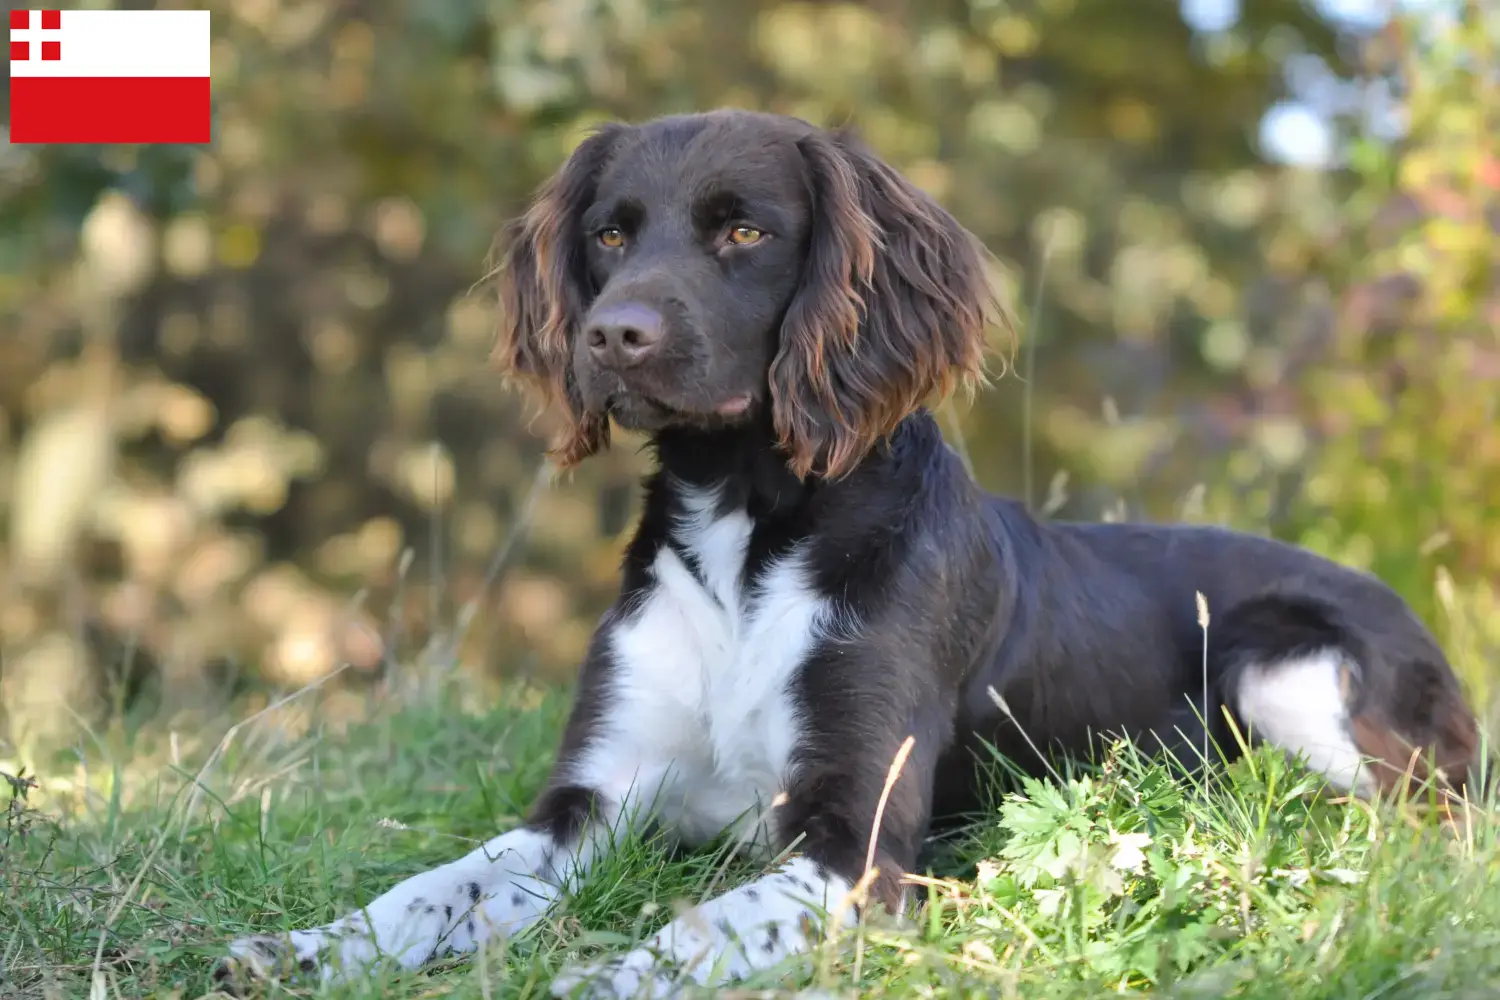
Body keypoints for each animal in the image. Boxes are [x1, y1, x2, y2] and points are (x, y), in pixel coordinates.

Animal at [219, 105, 1476, 995]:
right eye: (610, 235)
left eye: (745, 231)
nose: (612, 334)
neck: (745, 527)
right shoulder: (590, 799)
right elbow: (439, 885)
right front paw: (309, 945)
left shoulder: (853, 841)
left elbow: (692, 930)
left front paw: (599, 980)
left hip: (1287, 660)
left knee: (1432, 825)